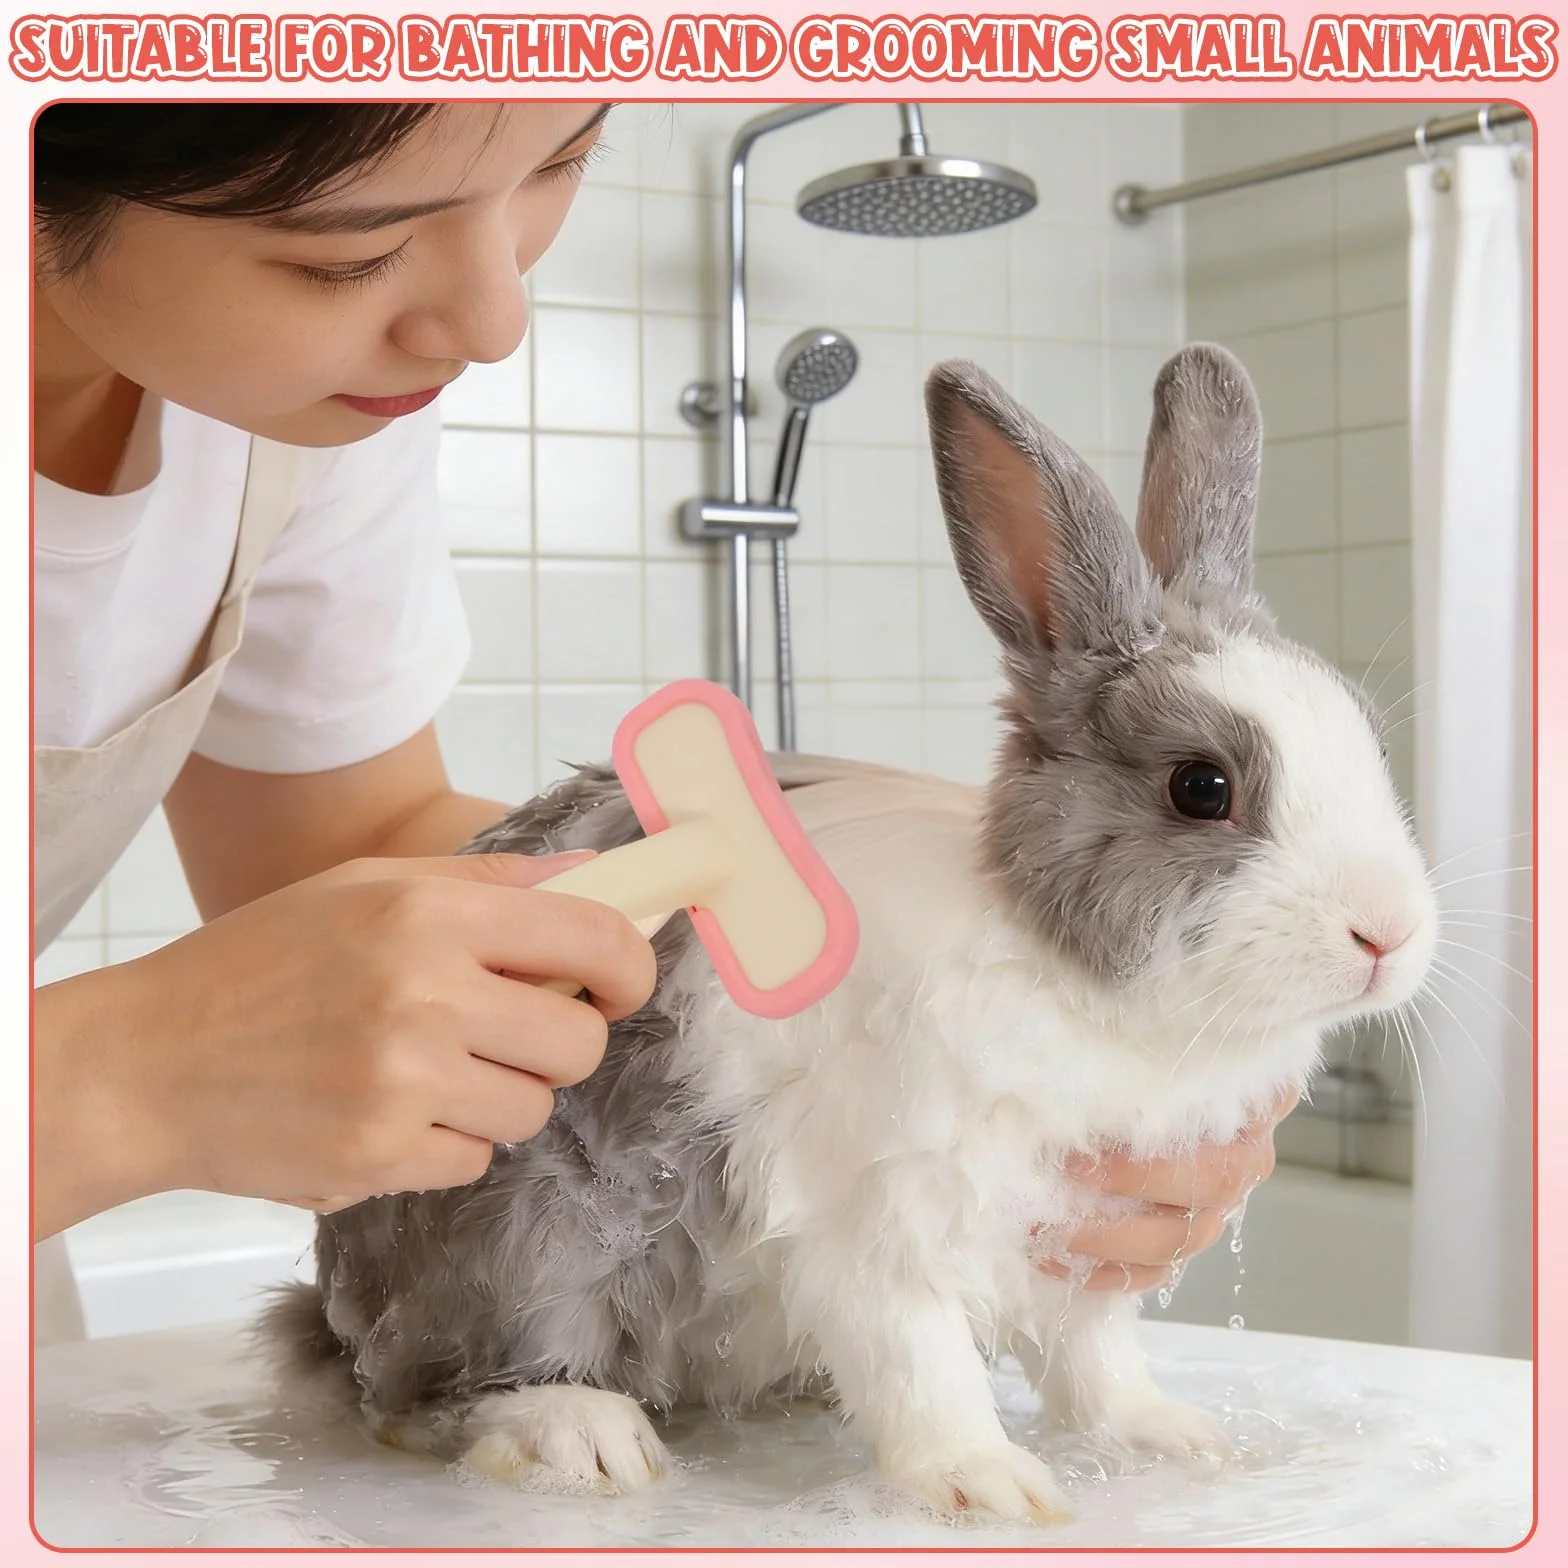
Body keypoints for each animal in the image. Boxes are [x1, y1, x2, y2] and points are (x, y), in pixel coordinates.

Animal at [259, 343, 1438, 1525]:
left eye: (1370, 745)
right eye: (1202, 787)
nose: (1385, 933)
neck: (1068, 971)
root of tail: (337, 1298)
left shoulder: (1073, 1247)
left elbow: (1095, 1361)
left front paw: (1166, 1439)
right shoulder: (880, 1216)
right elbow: (921, 1360)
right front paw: (990, 1488)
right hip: (528, 1234)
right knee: (423, 1395)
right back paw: (579, 1433)